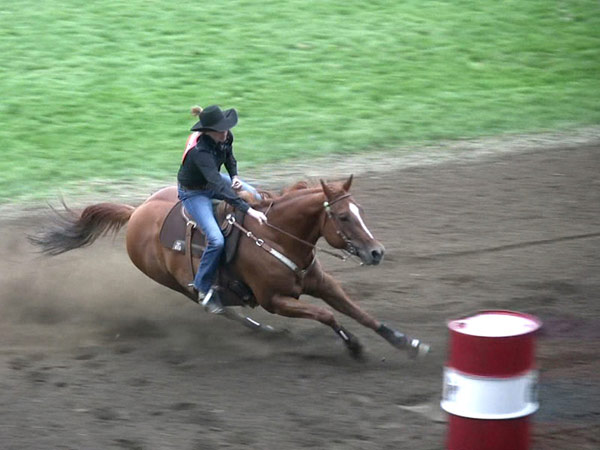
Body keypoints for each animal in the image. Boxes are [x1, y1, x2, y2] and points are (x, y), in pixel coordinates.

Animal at [30, 176, 428, 358]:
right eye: (343, 216)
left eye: (360, 211)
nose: (376, 252)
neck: (277, 236)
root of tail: (135, 213)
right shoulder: (276, 300)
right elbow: (327, 315)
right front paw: (354, 346)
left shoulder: (322, 283)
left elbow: (358, 311)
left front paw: (406, 341)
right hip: (182, 285)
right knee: (217, 307)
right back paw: (268, 331)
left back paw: (268, 332)